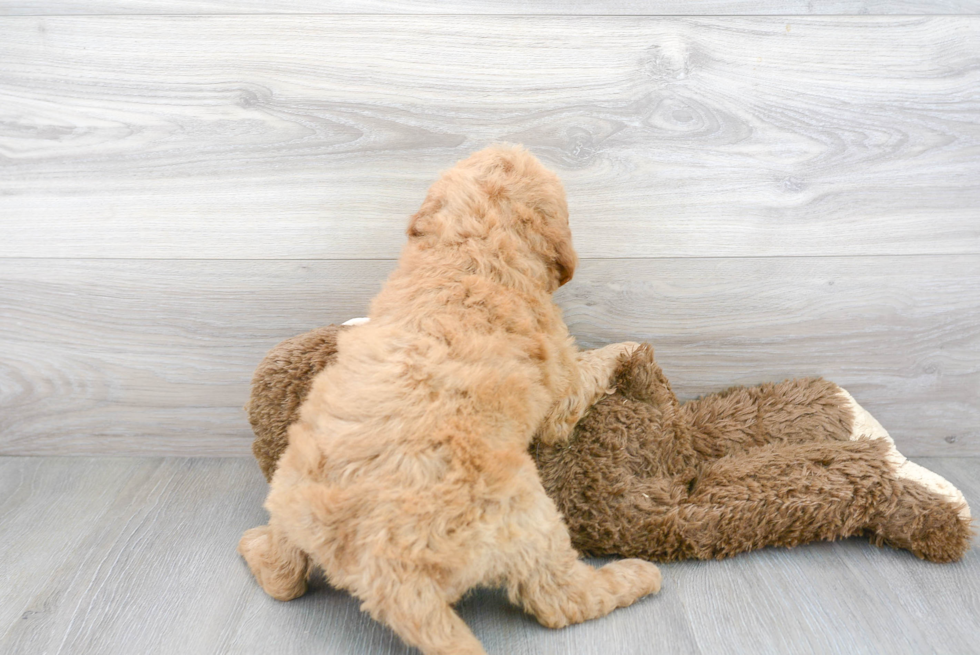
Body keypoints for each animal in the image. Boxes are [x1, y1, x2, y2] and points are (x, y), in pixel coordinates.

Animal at [237, 145, 660, 655]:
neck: (470, 249)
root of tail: (390, 578)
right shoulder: (560, 383)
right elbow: (588, 368)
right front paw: (629, 348)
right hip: (530, 522)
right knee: (560, 599)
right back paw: (636, 575)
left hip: (290, 498)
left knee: (284, 578)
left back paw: (253, 546)